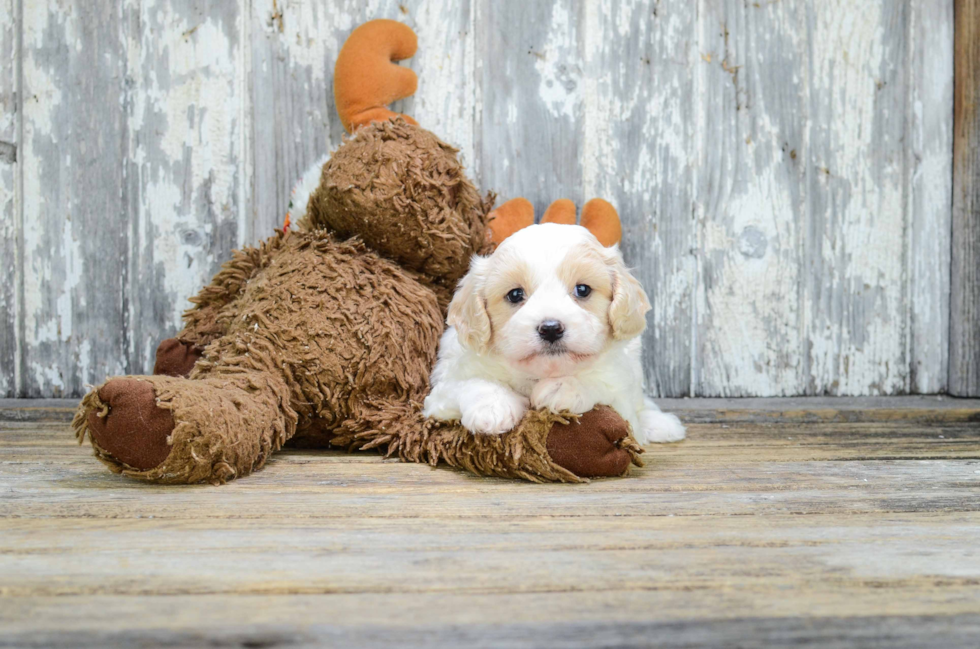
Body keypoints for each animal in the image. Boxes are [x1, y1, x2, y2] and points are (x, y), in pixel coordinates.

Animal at [420, 220, 680, 442]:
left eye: (582, 290)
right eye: (515, 294)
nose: (551, 329)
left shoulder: (622, 394)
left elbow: (604, 385)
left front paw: (564, 387)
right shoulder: (441, 392)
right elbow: (471, 383)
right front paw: (492, 408)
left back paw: (660, 423)